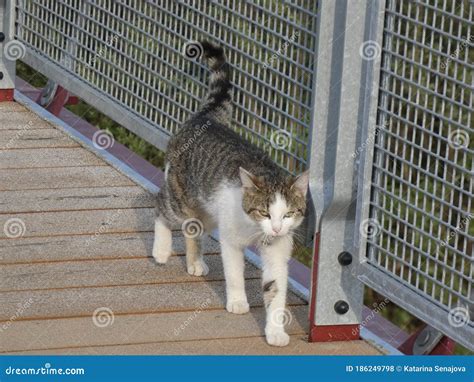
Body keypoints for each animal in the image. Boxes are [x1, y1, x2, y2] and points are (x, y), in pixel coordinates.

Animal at [152, 41, 308, 346]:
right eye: (264, 212)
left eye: (288, 214)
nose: (275, 227)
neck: (256, 230)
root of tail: (204, 119)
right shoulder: (232, 240)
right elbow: (235, 273)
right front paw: (237, 302)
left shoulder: (277, 251)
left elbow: (275, 290)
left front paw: (275, 331)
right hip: (181, 196)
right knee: (161, 207)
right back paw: (161, 249)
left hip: (209, 210)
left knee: (193, 229)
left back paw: (195, 261)